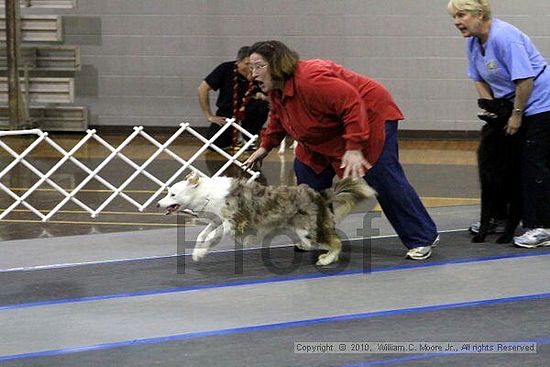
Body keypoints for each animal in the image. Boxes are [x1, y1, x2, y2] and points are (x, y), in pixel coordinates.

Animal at [157, 174, 378, 266]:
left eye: (173, 194)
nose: (158, 204)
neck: (207, 194)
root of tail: (320, 196)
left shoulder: (233, 222)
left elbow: (211, 236)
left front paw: (201, 253)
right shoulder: (216, 220)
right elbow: (203, 235)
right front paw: (197, 253)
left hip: (308, 229)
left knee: (336, 242)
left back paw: (326, 259)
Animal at [474, 97, 528, 244]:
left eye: (501, 104)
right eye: (493, 99)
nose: (479, 99)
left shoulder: (517, 190)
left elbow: (513, 216)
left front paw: (506, 236)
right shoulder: (488, 185)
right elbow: (485, 215)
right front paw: (481, 235)